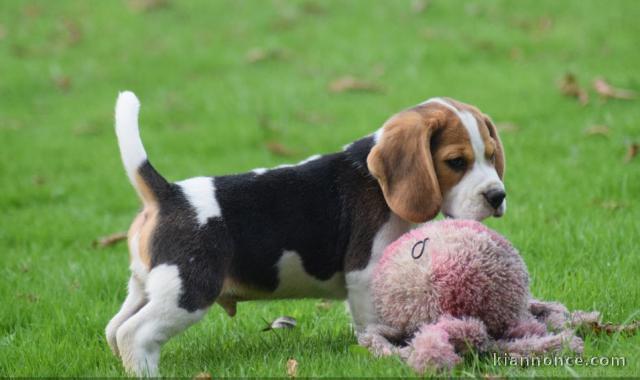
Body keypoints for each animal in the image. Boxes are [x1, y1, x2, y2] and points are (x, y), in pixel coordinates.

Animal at [104, 91, 504, 374]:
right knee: (134, 333)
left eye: (491, 156)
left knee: (114, 328)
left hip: (149, 286)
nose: (498, 196)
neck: (376, 180)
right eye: (456, 162)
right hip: (188, 290)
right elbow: (372, 324)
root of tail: (168, 193)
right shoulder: (365, 272)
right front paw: (388, 353)